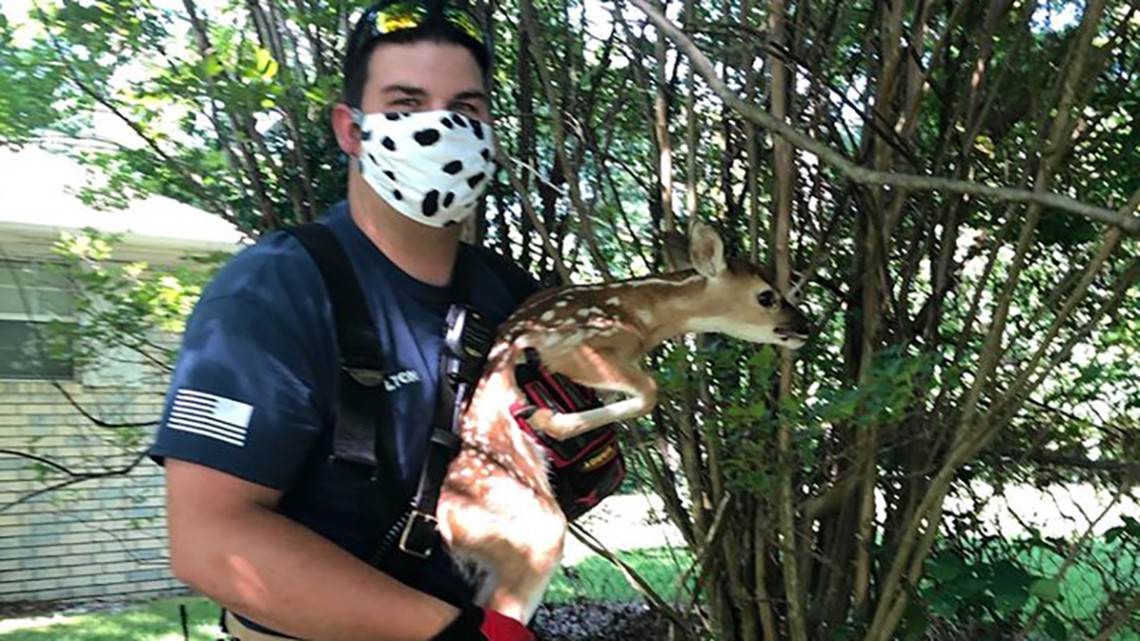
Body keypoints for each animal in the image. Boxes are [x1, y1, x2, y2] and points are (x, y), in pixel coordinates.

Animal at [435, 221, 811, 623]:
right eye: (766, 297)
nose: (804, 325)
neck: (640, 314)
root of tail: (447, 527)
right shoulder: (575, 347)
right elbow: (650, 391)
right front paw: (549, 419)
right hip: (532, 539)